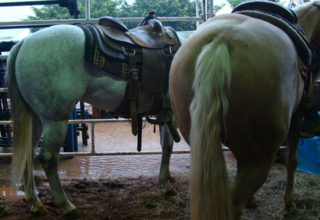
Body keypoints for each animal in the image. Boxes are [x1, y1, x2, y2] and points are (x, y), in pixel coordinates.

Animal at [5, 14, 190, 217]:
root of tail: (24, 42)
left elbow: (166, 146)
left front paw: (168, 179)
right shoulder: (175, 115)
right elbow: (169, 147)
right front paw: (167, 185)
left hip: (35, 119)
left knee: (28, 153)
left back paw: (35, 202)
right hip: (55, 120)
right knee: (47, 158)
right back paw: (66, 205)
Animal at [171, 1, 320, 220]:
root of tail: (220, 41)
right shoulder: (295, 123)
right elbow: (292, 161)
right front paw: (289, 204)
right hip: (260, 158)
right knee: (234, 203)